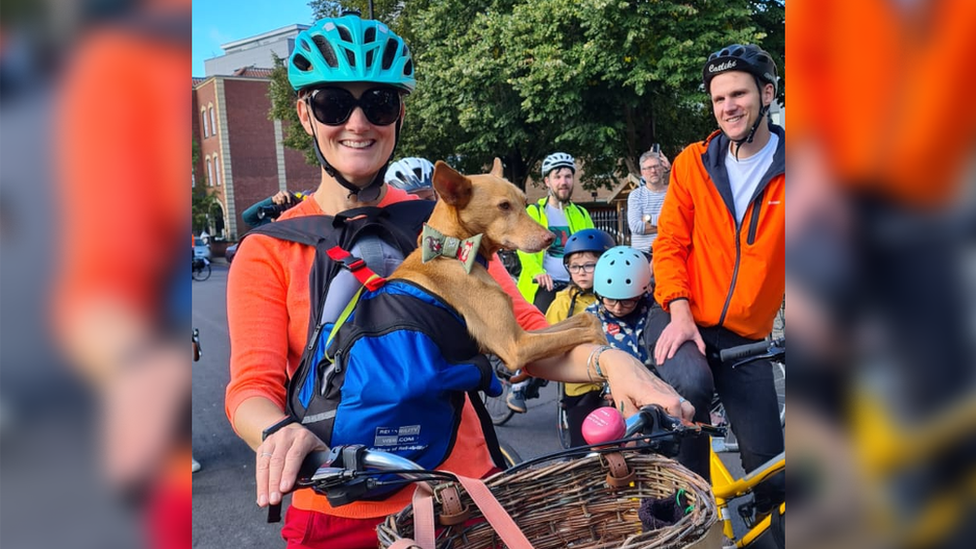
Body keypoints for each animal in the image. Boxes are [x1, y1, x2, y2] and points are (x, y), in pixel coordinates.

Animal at [390, 159, 608, 372]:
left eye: (524, 202)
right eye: (504, 206)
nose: (551, 238)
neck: (455, 252)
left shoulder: (522, 333)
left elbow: (586, 319)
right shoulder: (516, 345)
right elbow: (579, 331)